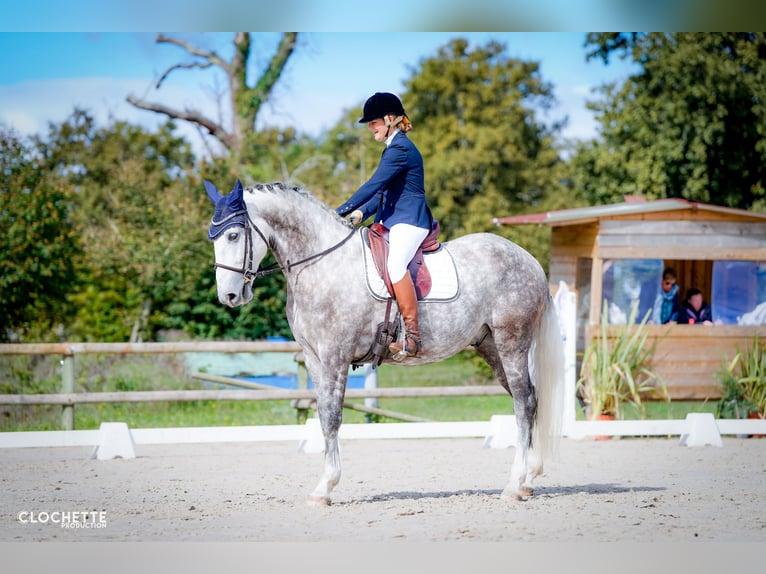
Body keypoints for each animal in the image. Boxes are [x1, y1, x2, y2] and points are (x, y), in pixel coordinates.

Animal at [204, 180, 564, 508]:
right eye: (213, 237)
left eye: (233, 235)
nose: (229, 296)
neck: (320, 263)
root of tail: (529, 260)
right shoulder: (314, 358)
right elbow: (322, 415)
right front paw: (323, 484)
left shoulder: (335, 356)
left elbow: (332, 415)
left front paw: (325, 487)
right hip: (491, 346)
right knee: (529, 400)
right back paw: (529, 480)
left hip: (512, 342)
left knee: (523, 403)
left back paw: (514, 485)